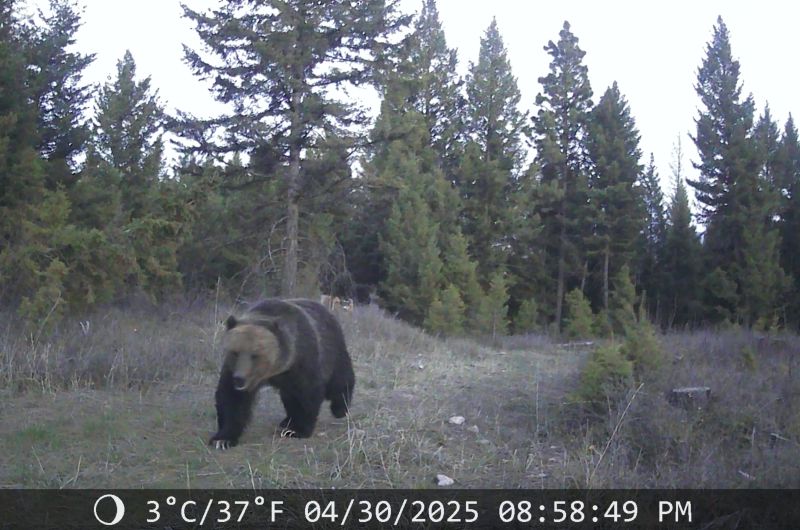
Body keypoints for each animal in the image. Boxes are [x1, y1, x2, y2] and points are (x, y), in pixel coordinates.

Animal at [209, 298, 355, 449]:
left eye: (255, 355)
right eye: (235, 352)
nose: (239, 379)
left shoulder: (302, 360)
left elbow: (307, 394)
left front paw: (298, 430)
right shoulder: (233, 371)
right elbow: (232, 399)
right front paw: (222, 439)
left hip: (333, 348)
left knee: (338, 380)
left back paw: (340, 408)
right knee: (288, 397)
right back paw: (286, 420)